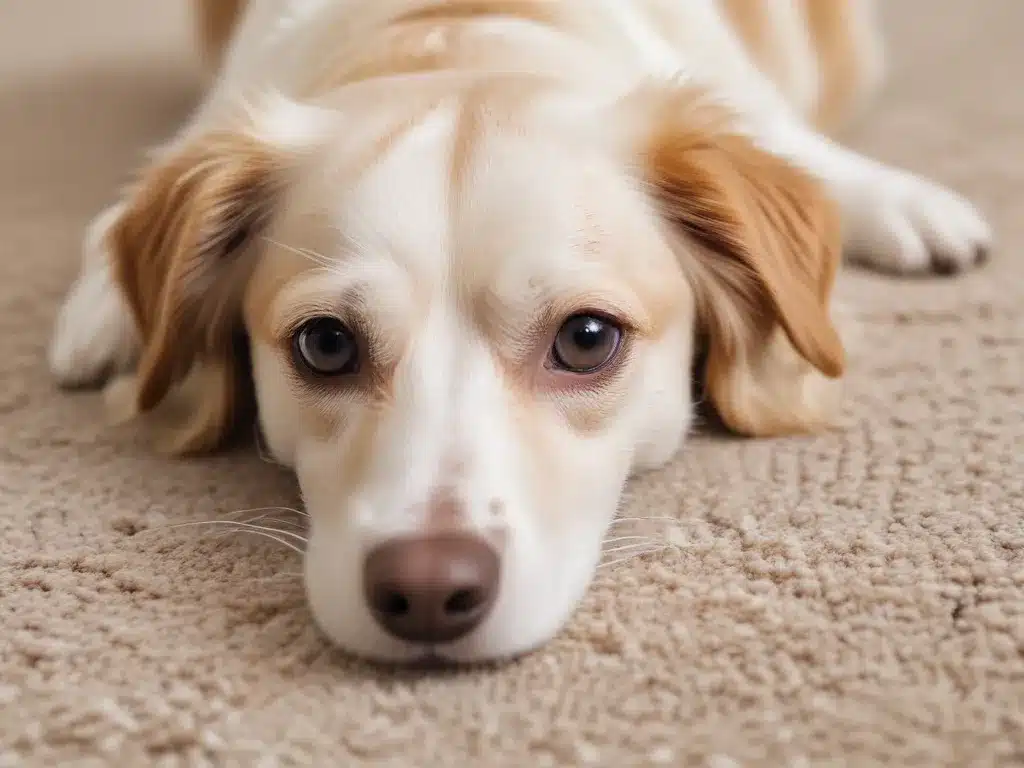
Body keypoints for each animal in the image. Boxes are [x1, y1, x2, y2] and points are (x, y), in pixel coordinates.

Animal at [48, 0, 991, 663]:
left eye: (587, 338)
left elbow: (797, 152)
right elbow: (118, 216)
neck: (460, 34)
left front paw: (903, 202)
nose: (428, 594)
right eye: (325, 344)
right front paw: (102, 311)